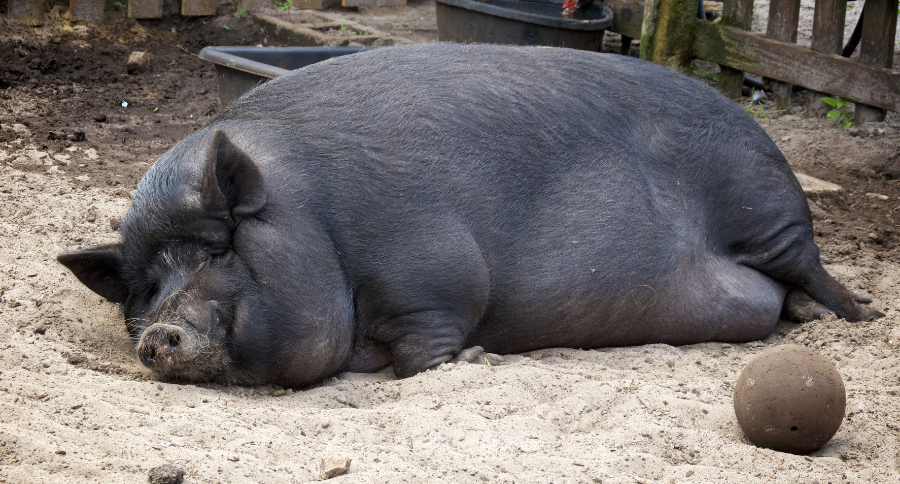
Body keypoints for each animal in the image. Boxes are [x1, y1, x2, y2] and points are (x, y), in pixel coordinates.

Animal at [58, 43, 882, 386]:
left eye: (220, 250)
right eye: (145, 291)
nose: (159, 333)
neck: (322, 221)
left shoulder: (437, 275)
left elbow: (428, 345)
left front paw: (480, 360)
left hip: (765, 208)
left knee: (812, 268)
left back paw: (856, 317)